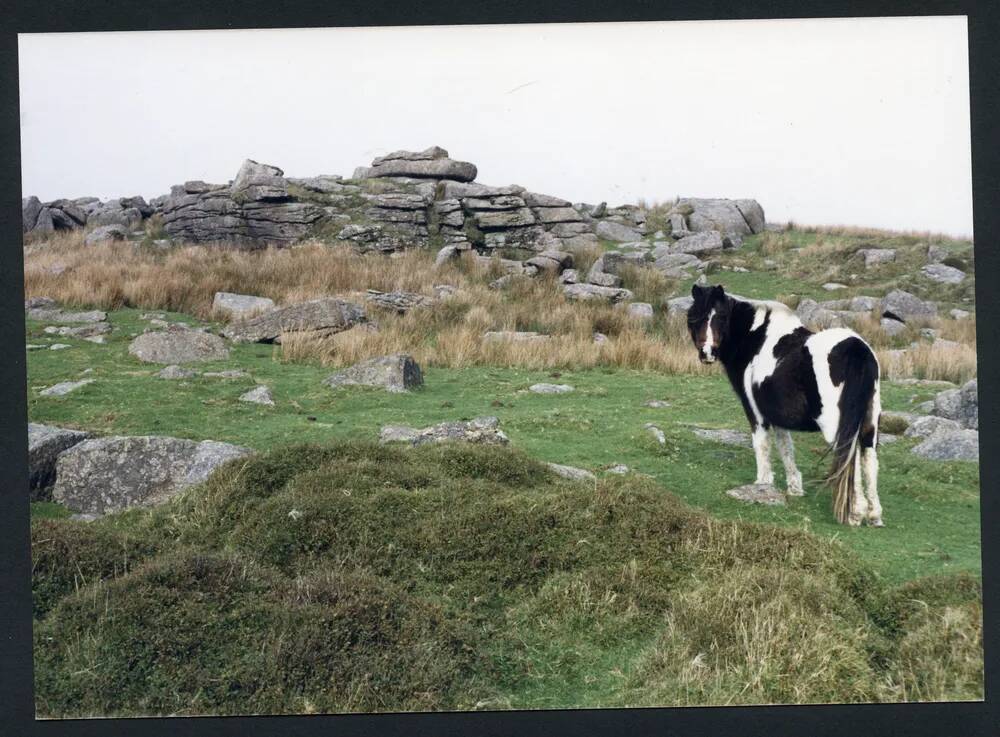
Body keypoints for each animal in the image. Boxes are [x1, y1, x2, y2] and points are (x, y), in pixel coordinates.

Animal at [688, 282, 884, 524]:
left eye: (722, 317)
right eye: (695, 317)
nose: (707, 353)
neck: (755, 340)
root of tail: (857, 349)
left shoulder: (756, 412)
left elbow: (762, 445)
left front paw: (762, 485)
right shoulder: (777, 415)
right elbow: (786, 447)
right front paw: (794, 488)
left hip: (837, 427)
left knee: (850, 454)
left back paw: (855, 512)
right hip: (869, 424)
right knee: (869, 458)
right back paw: (874, 515)